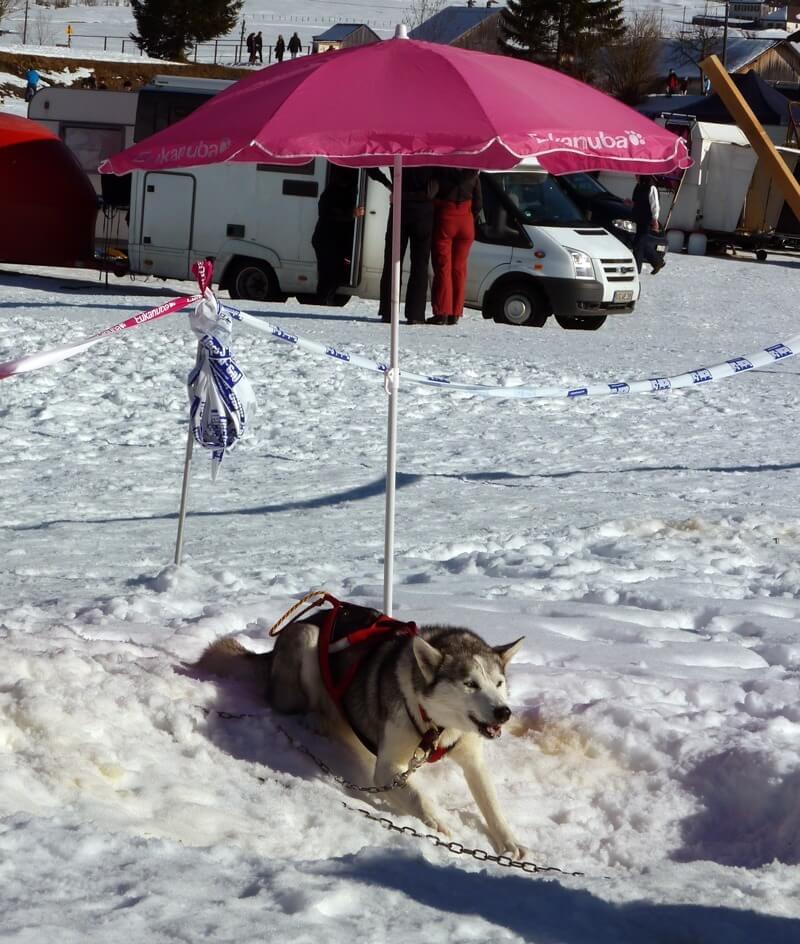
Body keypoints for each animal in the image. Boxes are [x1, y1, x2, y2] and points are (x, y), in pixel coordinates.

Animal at [197, 608, 528, 860]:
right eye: (469, 684)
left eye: (498, 683)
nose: (504, 712)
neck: (438, 727)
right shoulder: (388, 769)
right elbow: (418, 797)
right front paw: (440, 824)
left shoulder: (472, 758)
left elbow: (491, 802)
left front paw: (509, 841)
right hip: (307, 641)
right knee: (305, 707)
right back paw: (322, 723)